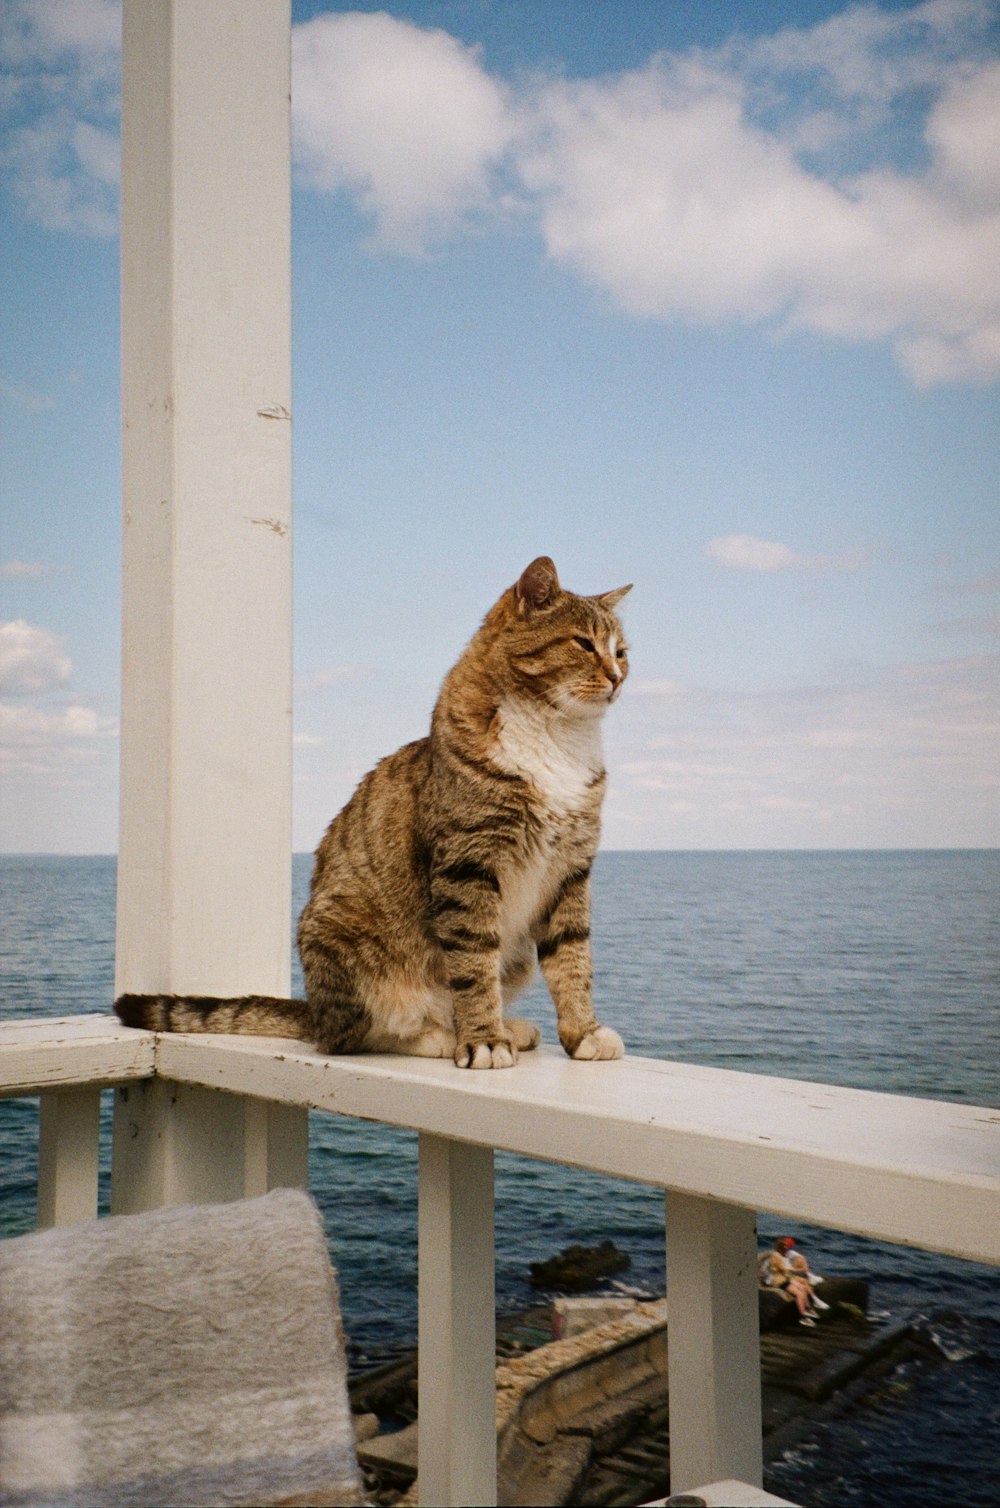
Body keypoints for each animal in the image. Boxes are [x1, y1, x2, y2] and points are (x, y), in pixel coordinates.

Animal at [117, 557, 630, 1073]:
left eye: (622, 652)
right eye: (583, 643)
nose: (617, 677)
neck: (557, 735)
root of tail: (314, 1011)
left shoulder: (570, 870)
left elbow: (572, 960)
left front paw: (583, 1032)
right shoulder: (467, 864)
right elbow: (473, 965)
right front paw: (484, 1038)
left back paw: (507, 1027)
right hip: (343, 935)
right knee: (351, 1036)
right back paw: (440, 1034)